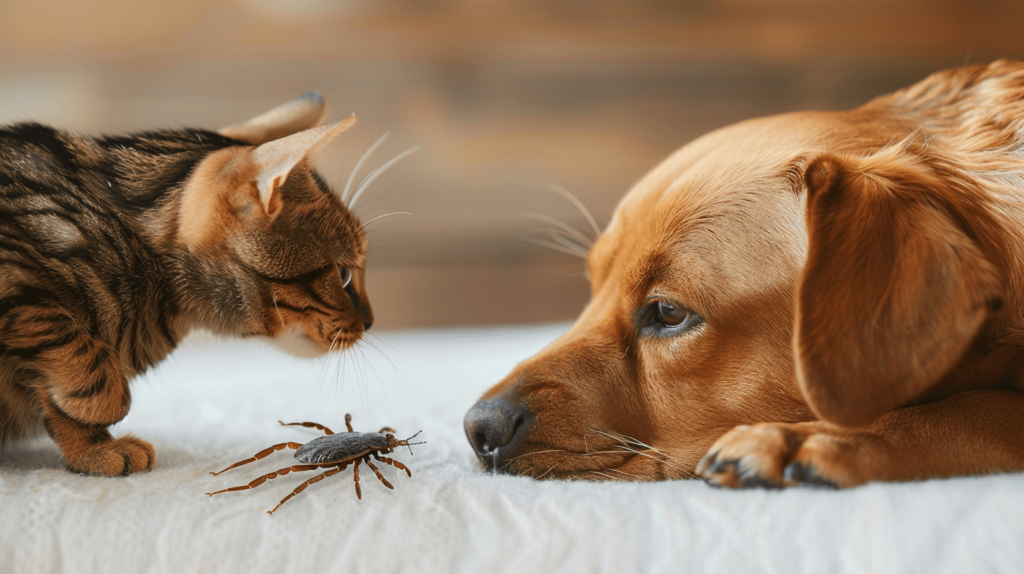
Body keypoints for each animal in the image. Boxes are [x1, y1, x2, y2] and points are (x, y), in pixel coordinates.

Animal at [0, 93, 376, 474]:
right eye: (343, 276)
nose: (371, 321)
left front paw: (93, 451)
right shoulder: (17, 281)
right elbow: (74, 344)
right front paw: (103, 407)